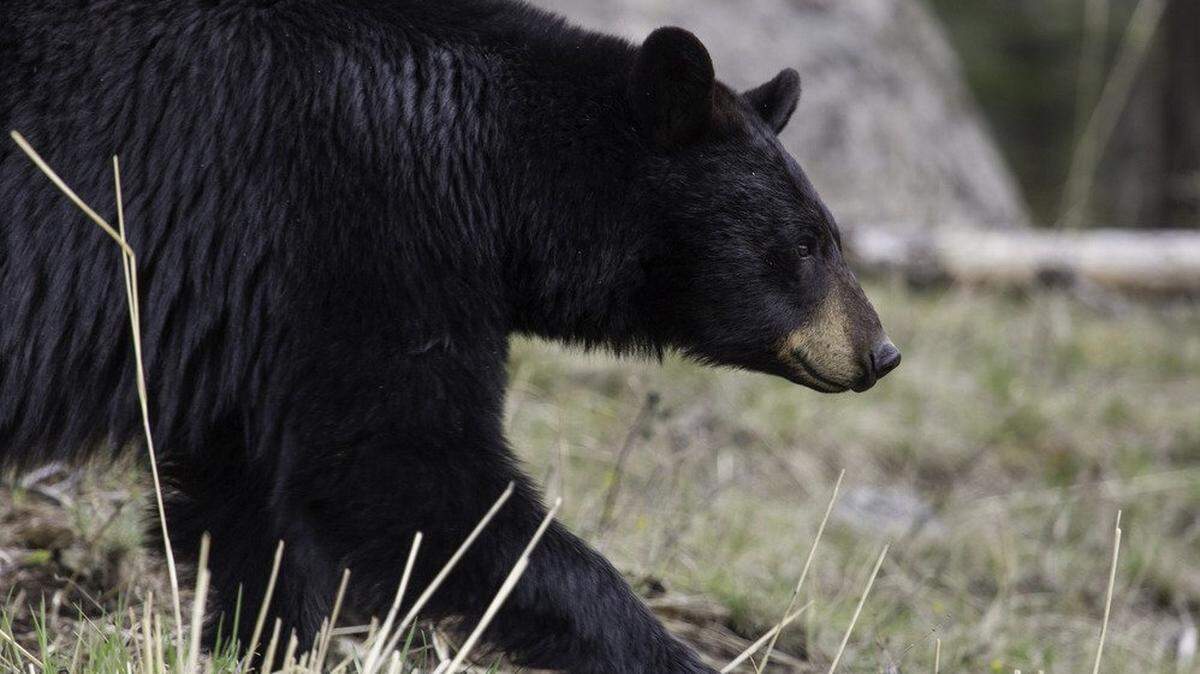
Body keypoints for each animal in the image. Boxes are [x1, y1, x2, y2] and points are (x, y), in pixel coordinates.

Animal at [0, 1, 900, 671]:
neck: (494, 166)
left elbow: (251, 497)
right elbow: (408, 470)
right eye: (806, 245)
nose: (880, 352)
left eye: (830, 234)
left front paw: (263, 642)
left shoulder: (259, 316)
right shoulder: (360, 231)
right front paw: (665, 653)